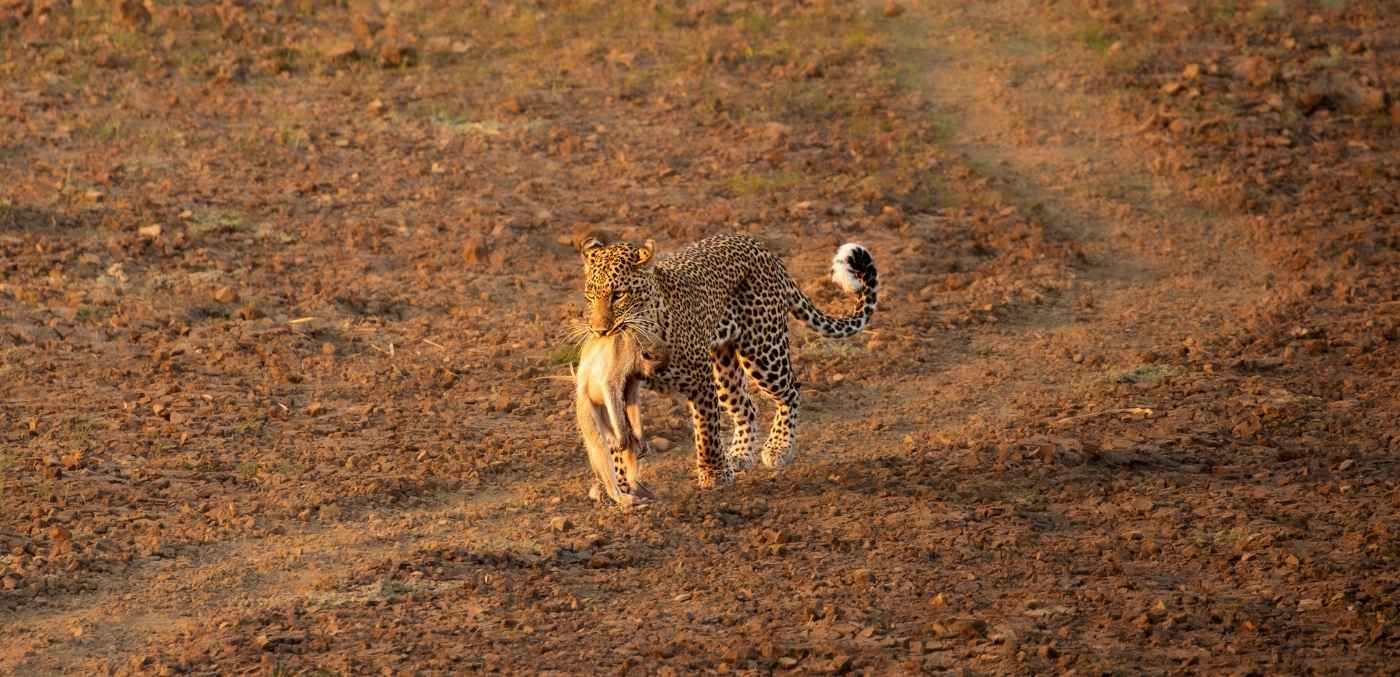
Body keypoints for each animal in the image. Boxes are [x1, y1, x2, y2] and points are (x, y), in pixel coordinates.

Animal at [577, 232, 877, 488]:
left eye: (618, 295)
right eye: (590, 296)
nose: (600, 330)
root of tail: (762, 249)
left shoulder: (699, 379)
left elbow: (706, 429)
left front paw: (714, 474)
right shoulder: (619, 387)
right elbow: (618, 433)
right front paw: (621, 481)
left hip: (764, 351)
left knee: (791, 389)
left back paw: (778, 447)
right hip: (724, 364)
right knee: (747, 407)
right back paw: (740, 454)